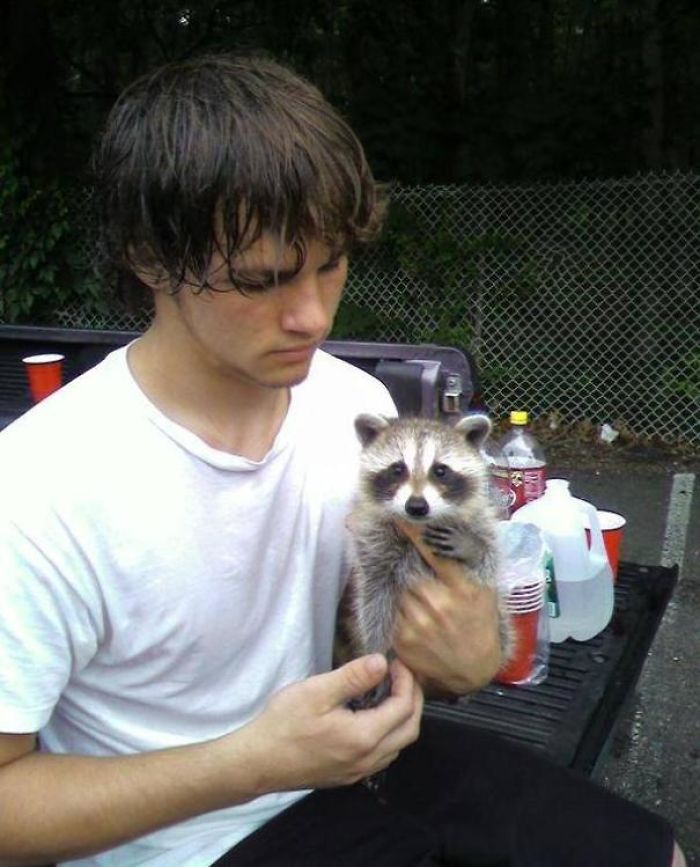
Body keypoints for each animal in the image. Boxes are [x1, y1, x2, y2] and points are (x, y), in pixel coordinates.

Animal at [341, 413, 513, 708]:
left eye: (440, 470)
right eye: (398, 469)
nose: (417, 506)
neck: (418, 526)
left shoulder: (481, 522)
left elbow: (487, 563)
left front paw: (472, 548)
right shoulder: (373, 546)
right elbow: (373, 602)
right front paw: (378, 654)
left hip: (499, 625)